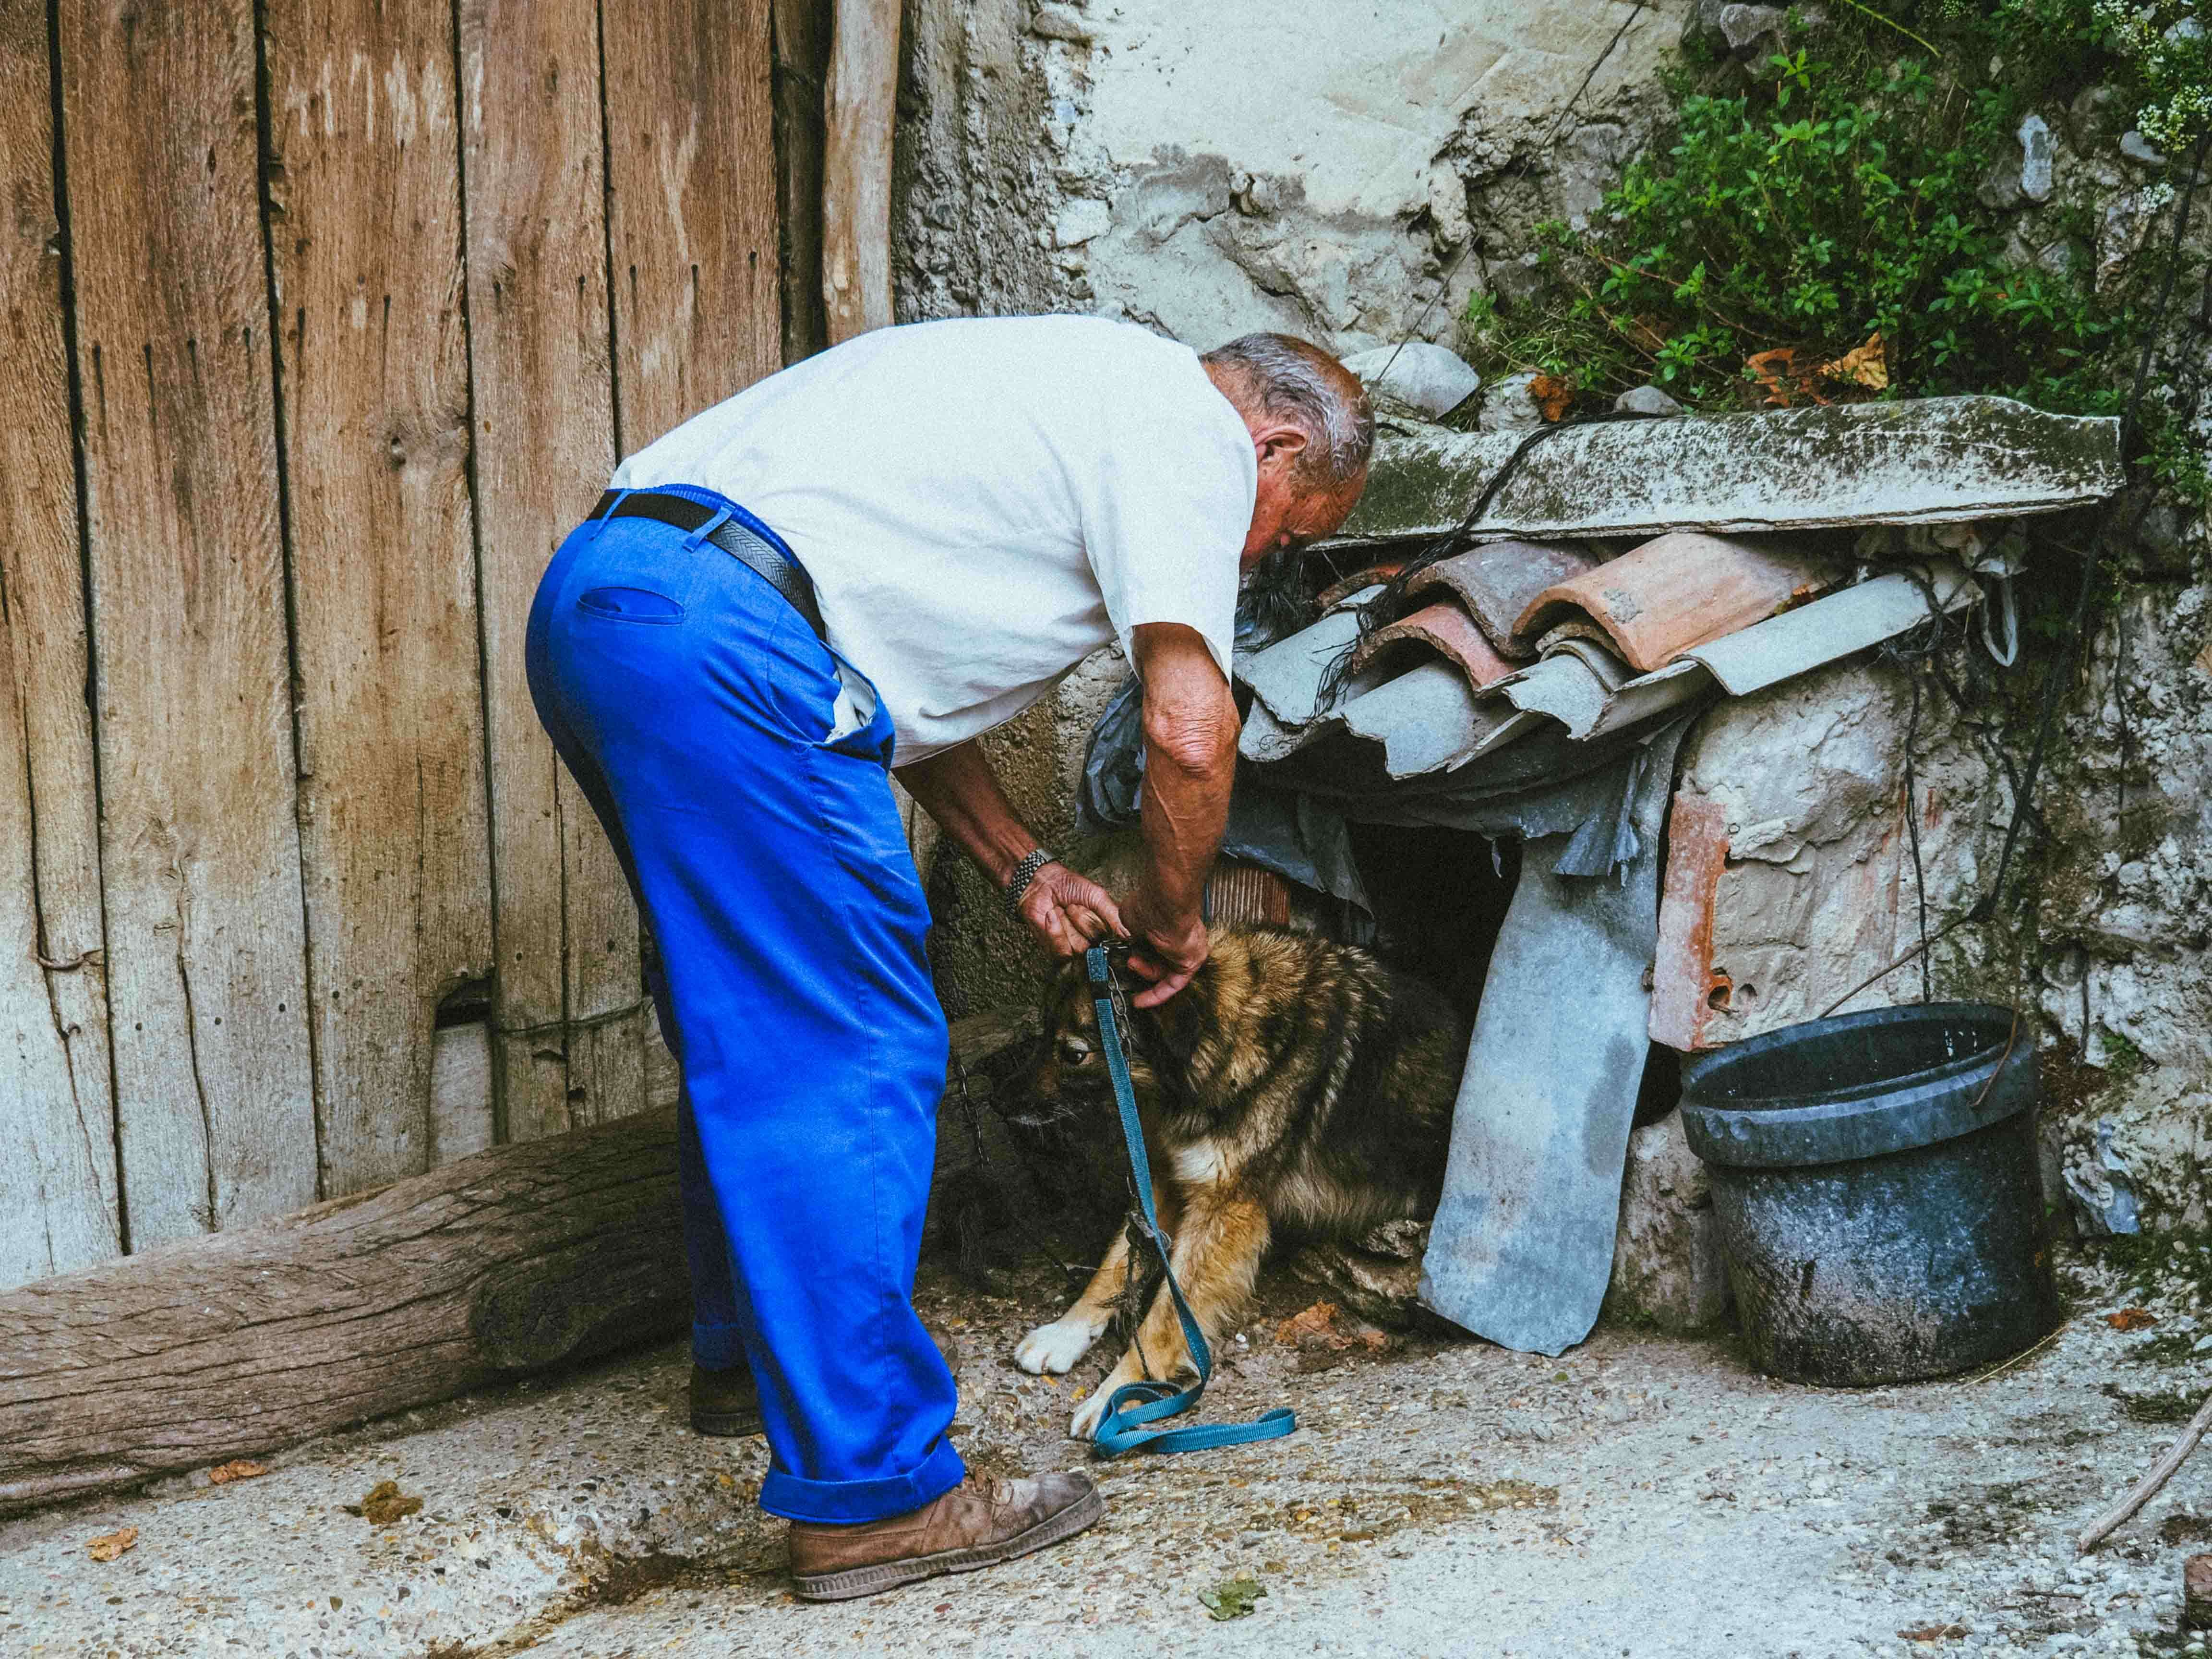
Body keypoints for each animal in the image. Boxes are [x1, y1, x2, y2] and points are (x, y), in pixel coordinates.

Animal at [1013, 929, 1468, 1451]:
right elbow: (1112, 1267)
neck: (1226, 1039)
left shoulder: (1224, 1210)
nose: (1003, 1100)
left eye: (1074, 1054)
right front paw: (1064, 1333)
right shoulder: (1171, 1173)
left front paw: (1116, 1395)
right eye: (1043, 1034)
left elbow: (1165, 1316)